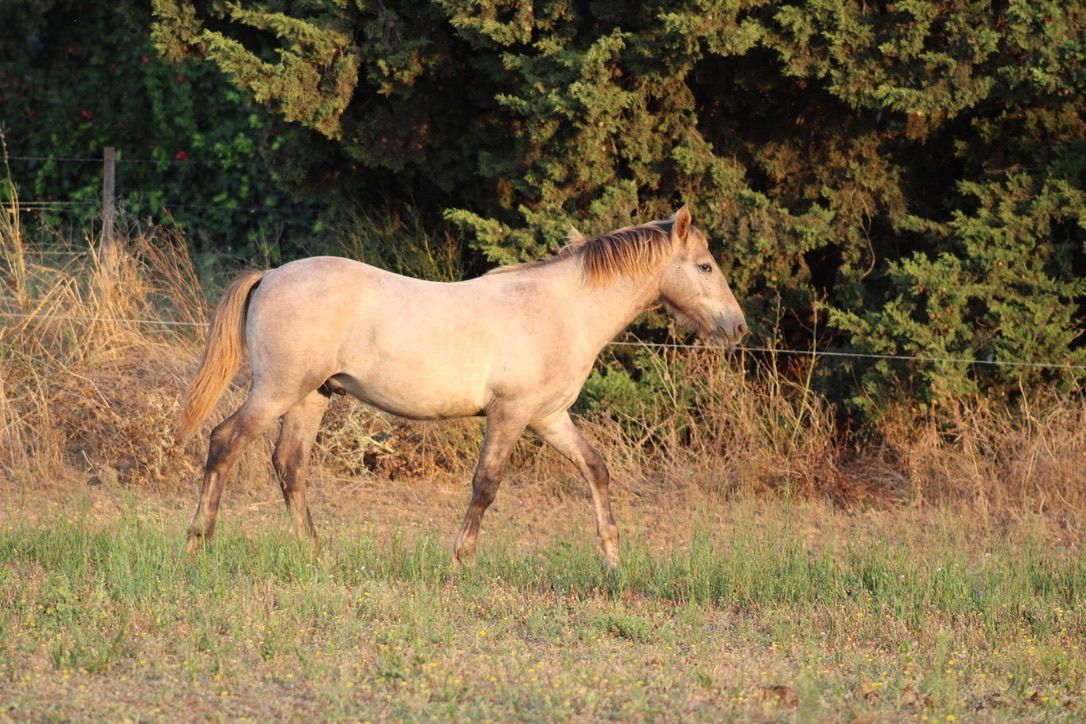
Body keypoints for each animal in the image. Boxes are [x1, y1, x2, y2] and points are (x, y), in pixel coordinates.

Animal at [178, 204, 751, 564]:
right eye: (705, 266)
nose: (738, 328)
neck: (561, 310)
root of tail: (271, 275)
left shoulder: (548, 418)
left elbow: (595, 468)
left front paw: (611, 555)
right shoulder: (510, 414)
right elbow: (486, 485)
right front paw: (461, 559)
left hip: (311, 397)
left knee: (290, 467)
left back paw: (314, 555)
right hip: (276, 390)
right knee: (224, 442)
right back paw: (196, 543)